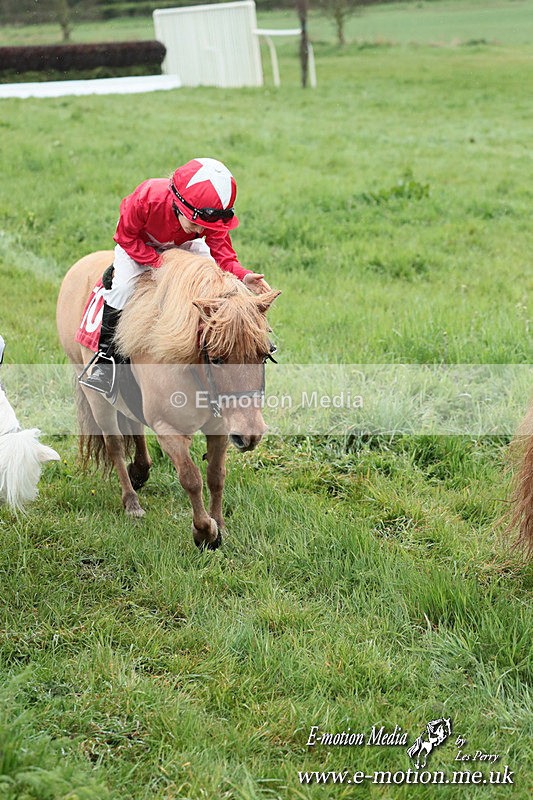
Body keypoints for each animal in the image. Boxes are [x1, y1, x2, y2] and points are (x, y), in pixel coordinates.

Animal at [56, 249, 280, 549]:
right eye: (217, 358)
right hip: (96, 398)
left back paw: (139, 472)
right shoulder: (168, 429)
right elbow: (191, 478)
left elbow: (216, 476)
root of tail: (79, 266)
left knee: (135, 426)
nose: (250, 434)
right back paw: (131, 502)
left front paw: (219, 524)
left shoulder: (221, 428)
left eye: (263, 355)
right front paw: (204, 532)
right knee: (114, 444)